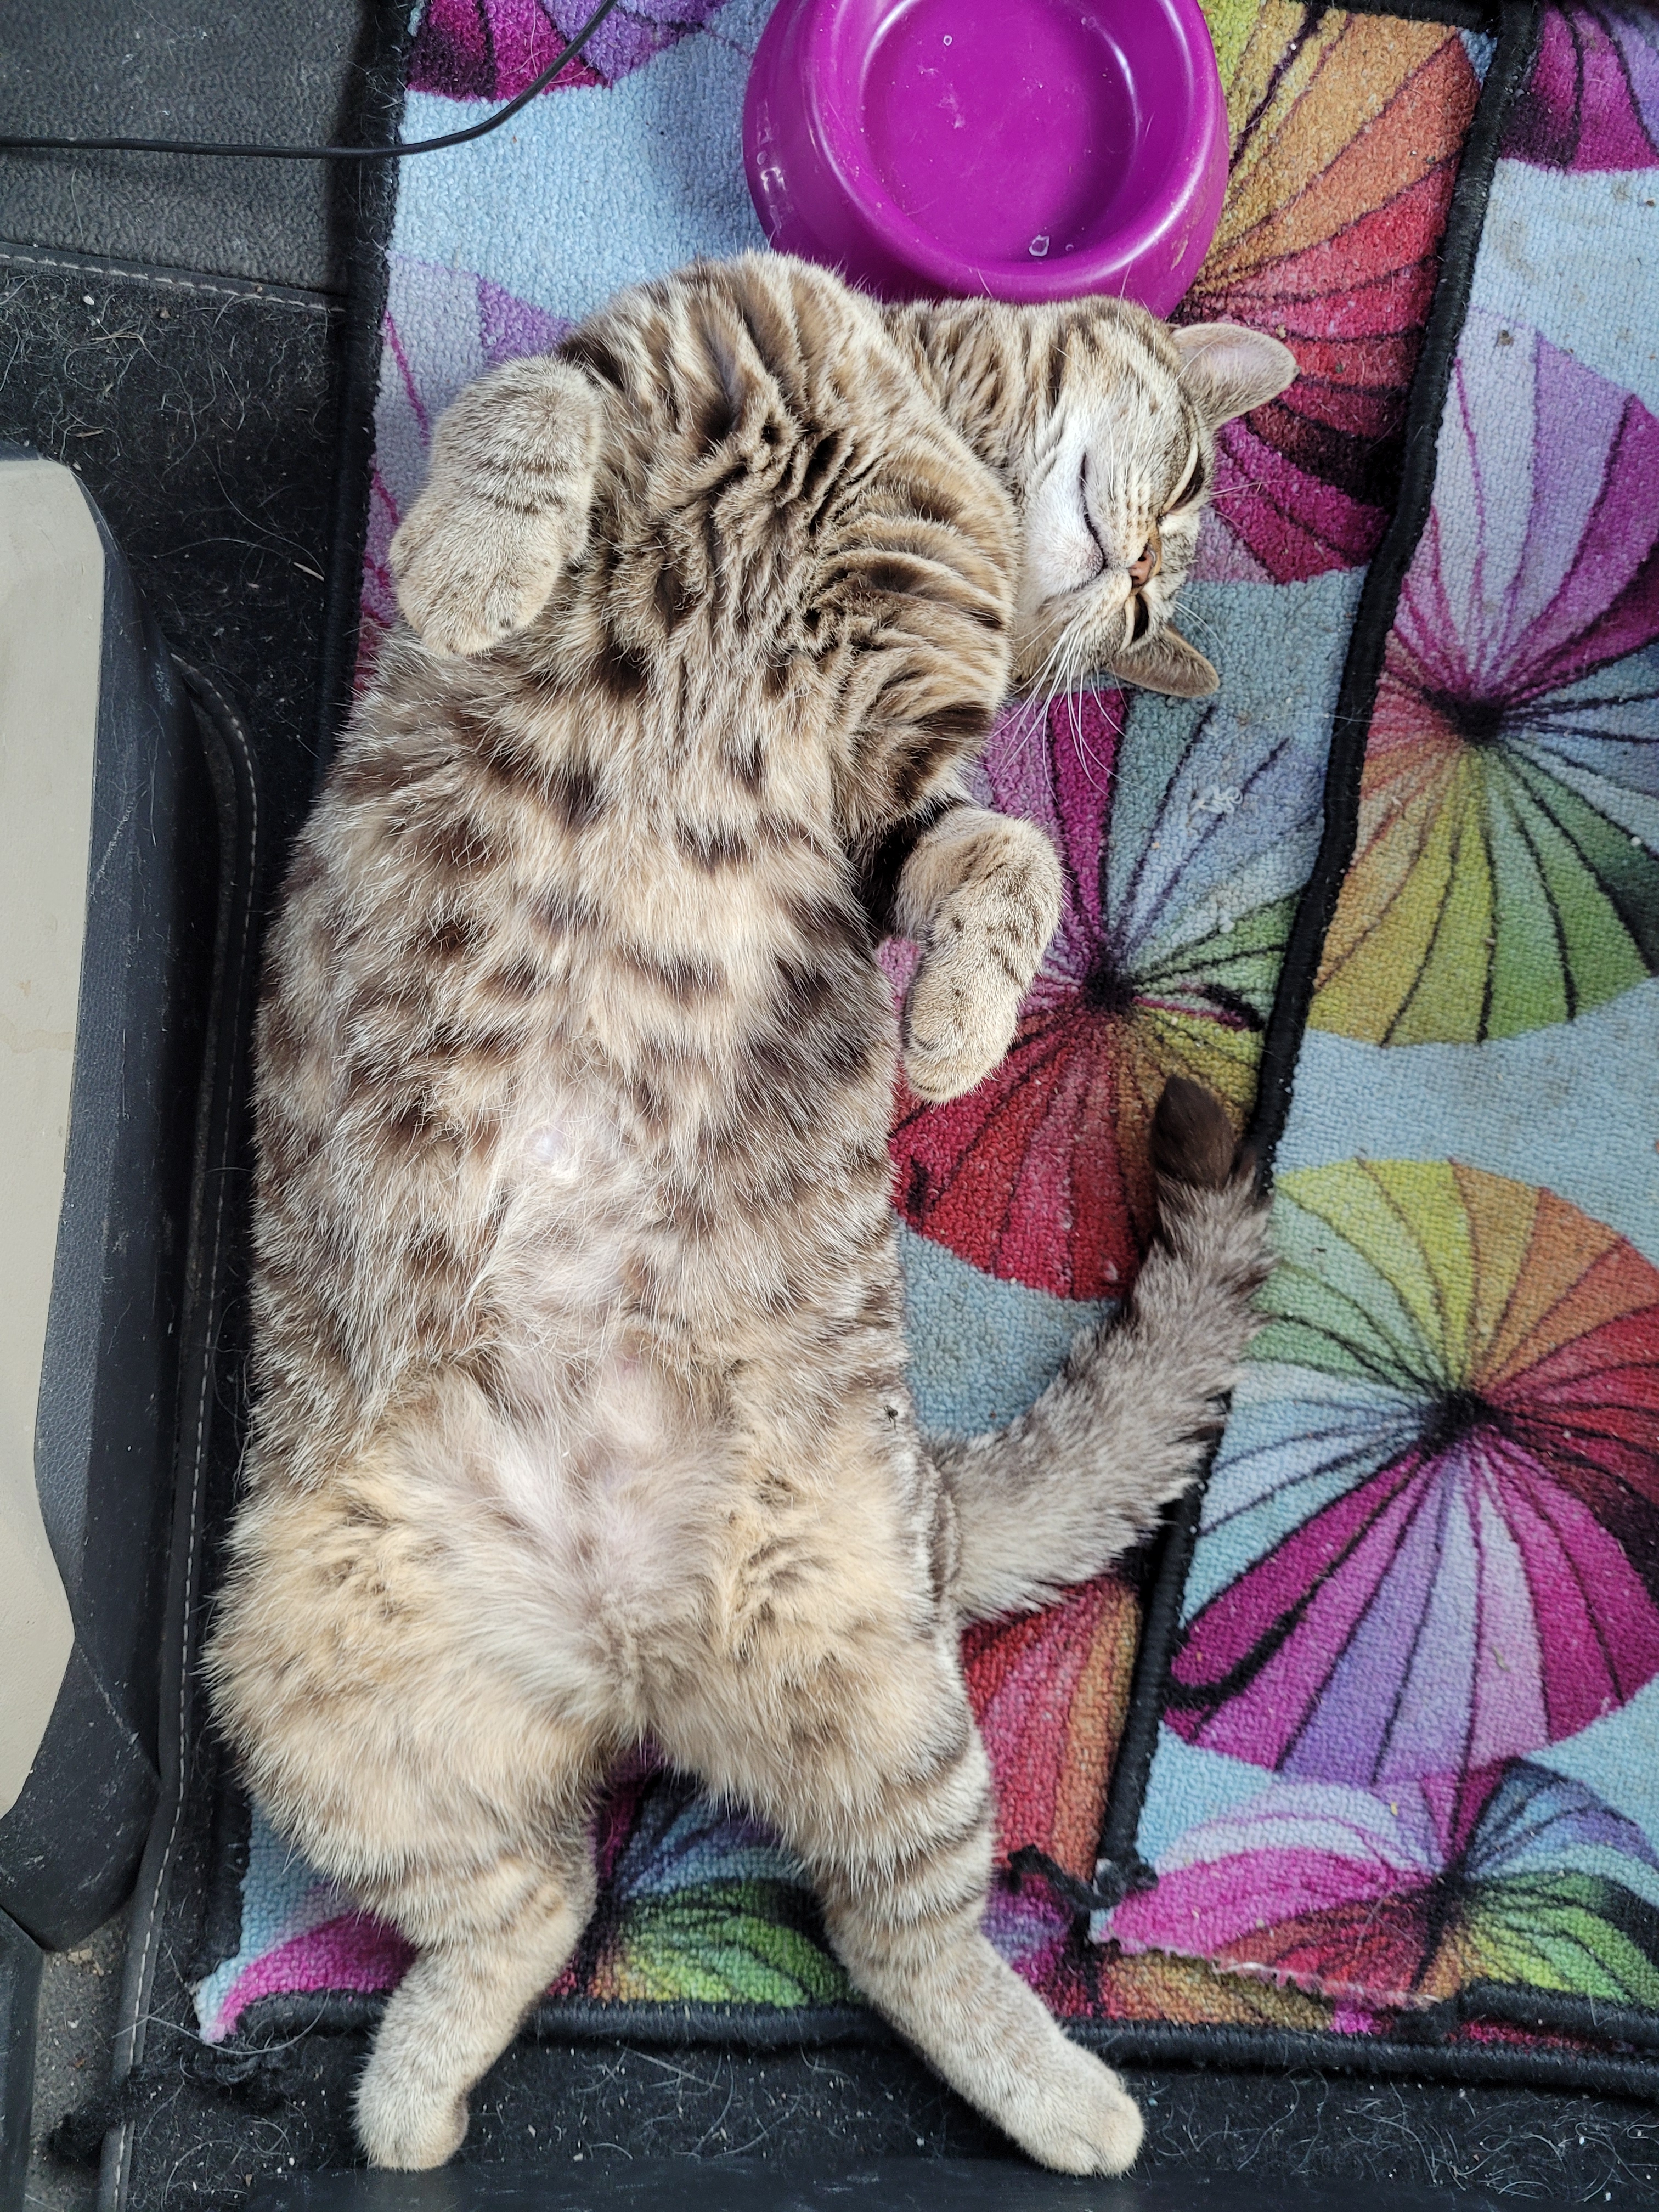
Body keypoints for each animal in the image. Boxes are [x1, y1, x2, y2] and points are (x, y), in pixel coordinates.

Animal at [206, 253, 1294, 2177]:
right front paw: (472, 573)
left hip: (884, 1708)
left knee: (893, 1931)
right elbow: (523, 424)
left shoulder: (893, 792)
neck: (924, 429)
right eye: (1177, 495)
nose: (1143, 580)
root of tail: (620, 1651)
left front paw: (955, 1032)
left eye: (1173, 554)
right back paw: (414, 2094)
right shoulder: (631, 359)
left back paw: (1074, 2103)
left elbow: (1010, 857)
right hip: (312, 1700)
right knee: (535, 1899)